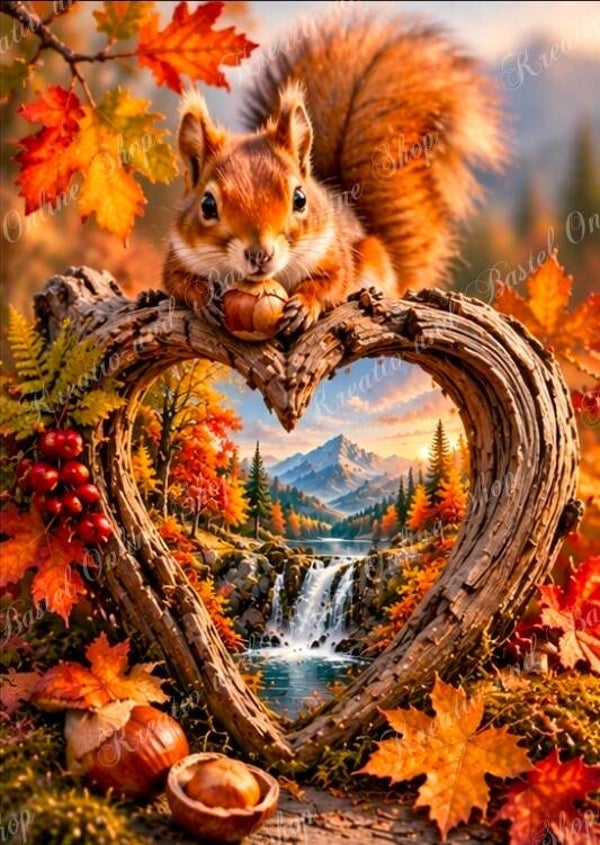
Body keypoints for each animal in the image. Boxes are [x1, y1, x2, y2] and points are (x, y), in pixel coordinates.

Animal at [163, 5, 504, 336]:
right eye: (207, 205)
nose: (260, 254)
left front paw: (304, 304)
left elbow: (334, 280)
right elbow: (176, 280)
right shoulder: (179, 256)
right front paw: (204, 296)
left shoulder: (332, 252)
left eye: (300, 199)